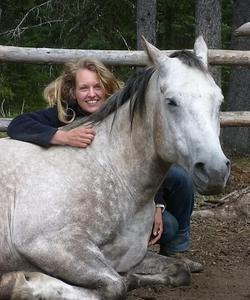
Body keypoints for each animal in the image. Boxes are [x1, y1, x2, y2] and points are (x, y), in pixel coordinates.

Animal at [0, 37, 230, 300]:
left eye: (219, 100)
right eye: (171, 101)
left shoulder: (126, 257)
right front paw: (19, 283)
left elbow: (178, 270)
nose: (215, 171)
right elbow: (115, 286)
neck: (109, 169)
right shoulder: (48, 244)